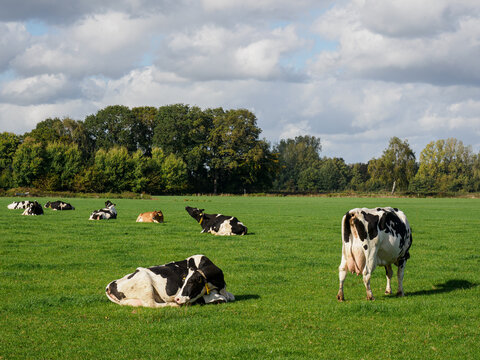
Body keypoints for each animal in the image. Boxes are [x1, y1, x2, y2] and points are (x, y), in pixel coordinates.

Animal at [105, 255, 234, 308]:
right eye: (184, 281)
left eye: (191, 281)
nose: (177, 299)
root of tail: (110, 285)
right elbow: (221, 300)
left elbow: (230, 297)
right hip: (145, 283)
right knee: (152, 304)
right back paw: (173, 305)